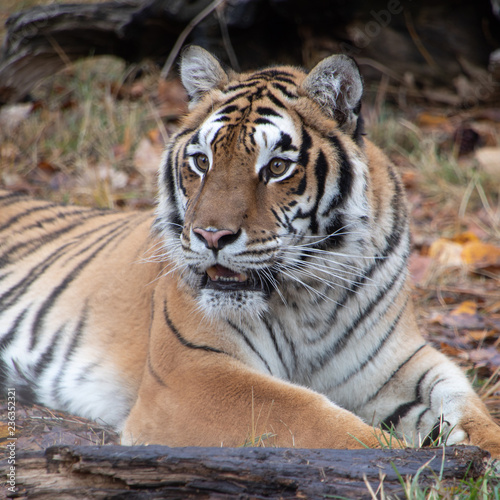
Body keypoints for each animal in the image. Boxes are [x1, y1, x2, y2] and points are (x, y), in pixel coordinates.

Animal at [0, 47, 500, 458]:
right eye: (202, 161)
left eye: (276, 167)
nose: (211, 237)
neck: (308, 297)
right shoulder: (192, 373)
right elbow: (314, 417)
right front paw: (412, 462)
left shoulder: (398, 361)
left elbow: (463, 402)